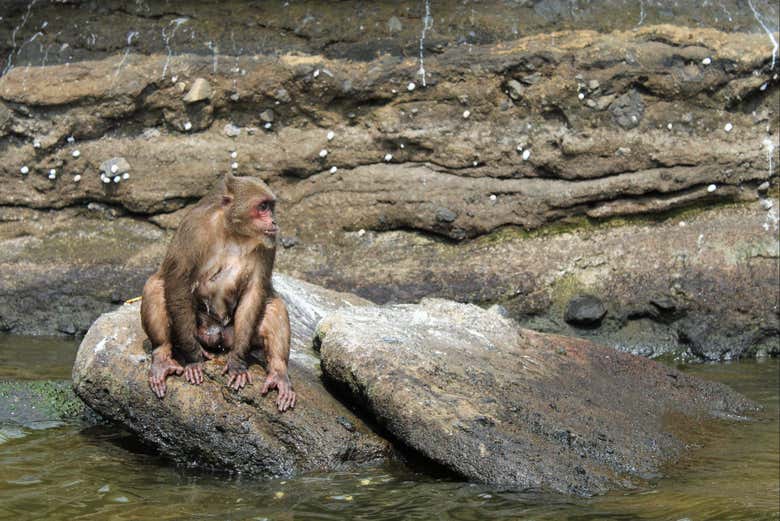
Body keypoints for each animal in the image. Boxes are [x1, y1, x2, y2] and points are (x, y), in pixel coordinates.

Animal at [140, 172, 296, 412]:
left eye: (271, 207)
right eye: (262, 207)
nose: (274, 221)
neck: (233, 231)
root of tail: (215, 335)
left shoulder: (268, 241)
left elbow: (255, 292)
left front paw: (238, 362)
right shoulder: (194, 228)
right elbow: (178, 282)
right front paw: (194, 358)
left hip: (231, 335)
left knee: (273, 306)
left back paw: (278, 373)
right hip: (198, 329)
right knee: (156, 286)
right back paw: (162, 355)